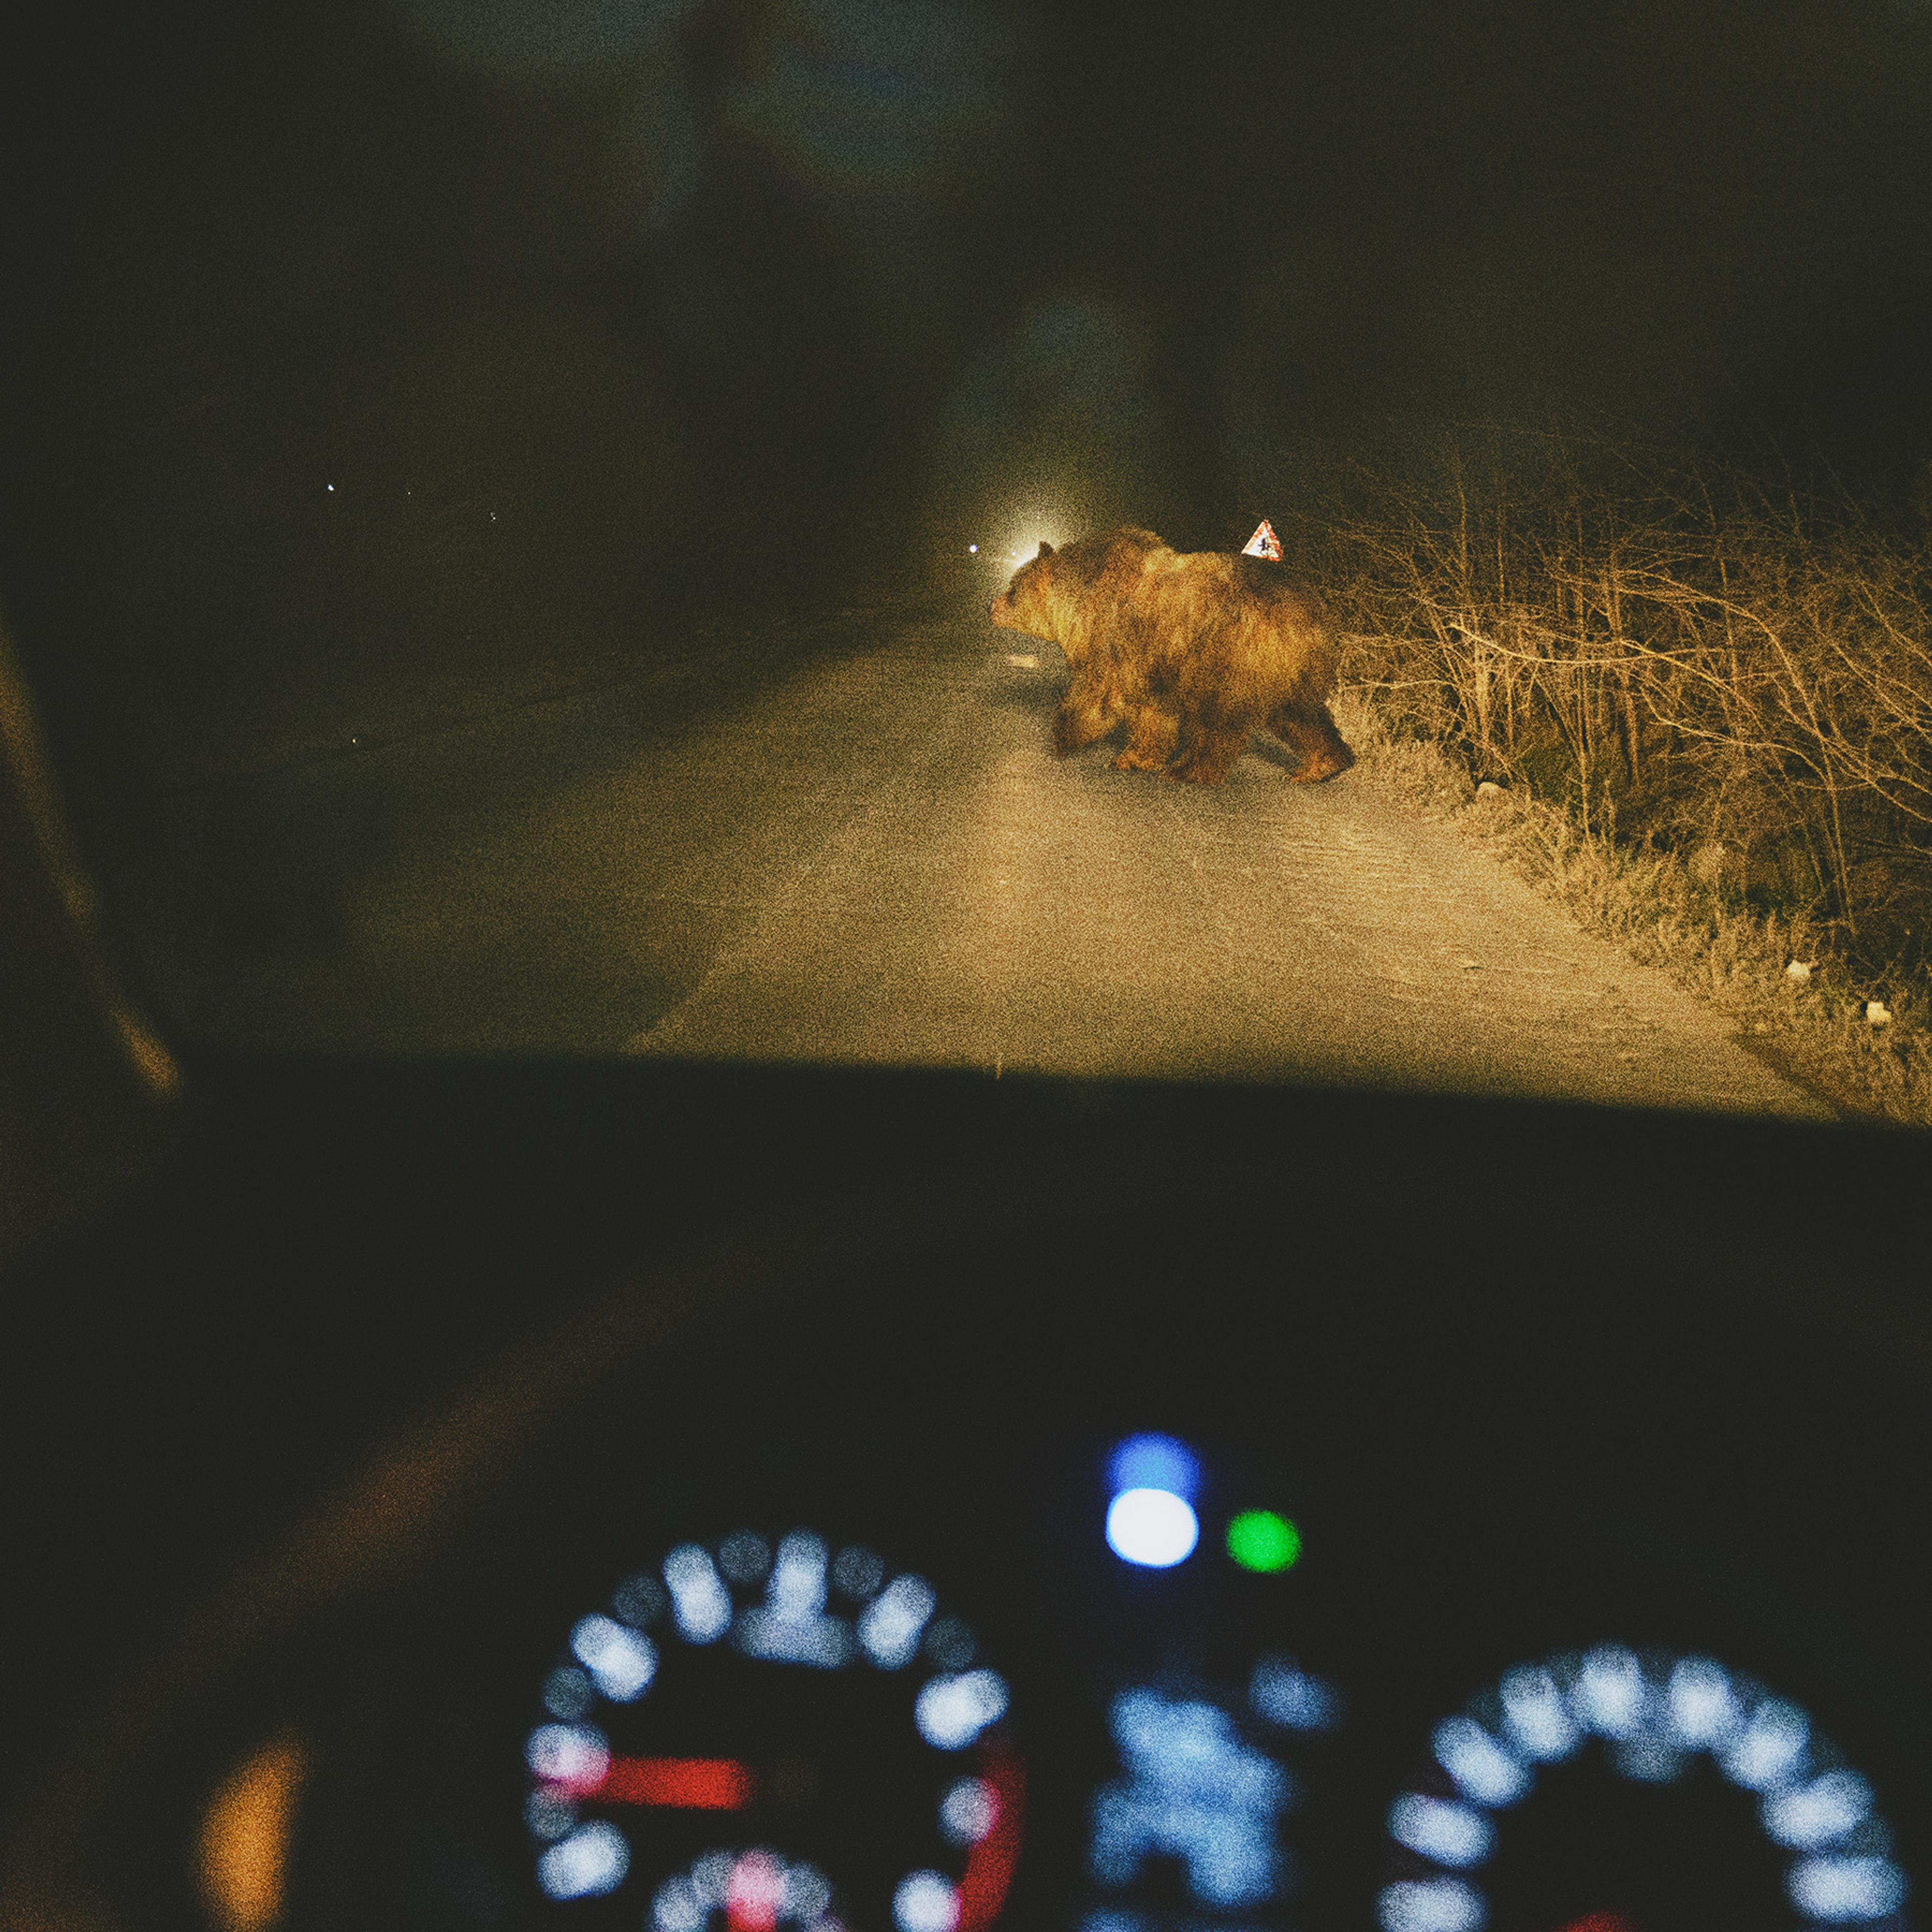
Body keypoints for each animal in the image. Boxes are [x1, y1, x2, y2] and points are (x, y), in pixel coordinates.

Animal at [989, 529, 1352, 784]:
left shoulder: (1115, 637)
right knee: (1301, 716)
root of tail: (1312, 609)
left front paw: (1064, 738)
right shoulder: (1152, 664)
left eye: (1013, 588)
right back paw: (1320, 766)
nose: (992, 606)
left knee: (1219, 720)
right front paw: (1135, 758)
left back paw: (1189, 770)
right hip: (1292, 668)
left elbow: (1098, 692)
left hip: (1232, 656)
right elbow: (1152, 715)